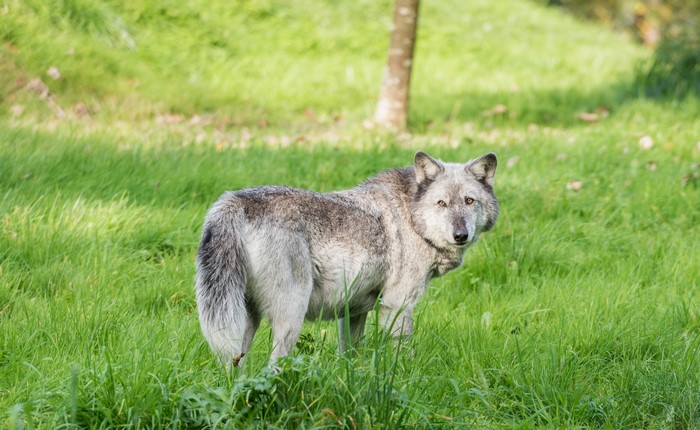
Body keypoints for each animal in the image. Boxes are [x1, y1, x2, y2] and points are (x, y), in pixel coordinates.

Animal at [196, 151, 498, 366]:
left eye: (469, 201)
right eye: (442, 204)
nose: (460, 235)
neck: (412, 218)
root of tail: (234, 201)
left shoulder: (353, 310)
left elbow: (350, 357)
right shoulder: (397, 305)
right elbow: (402, 356)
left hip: (242, 323)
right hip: (290, 316)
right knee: (272, 366)